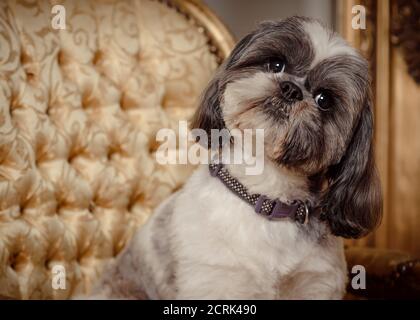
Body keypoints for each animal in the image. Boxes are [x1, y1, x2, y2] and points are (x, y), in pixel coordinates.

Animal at [92, 15, 380, 300]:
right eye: (275, 64)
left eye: (324, 99)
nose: (291, 89)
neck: (266, 197)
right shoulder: (217, 280)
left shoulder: (315, 283)